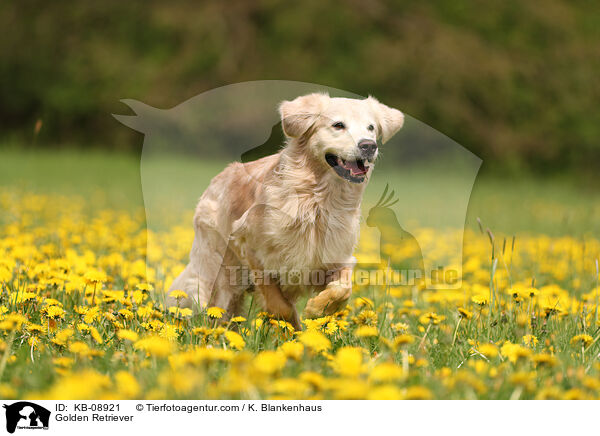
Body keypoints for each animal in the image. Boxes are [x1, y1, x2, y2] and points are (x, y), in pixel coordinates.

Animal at [166, 93, 406, 328]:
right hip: (221, 272)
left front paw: (318, 309)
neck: (318, 200)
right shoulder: (250, 248)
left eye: (371, 127)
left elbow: (342, 288)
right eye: (338, 125)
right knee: (216, 309)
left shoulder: (337, 256)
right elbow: (280, 305)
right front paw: (295, 325)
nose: (369, 145)